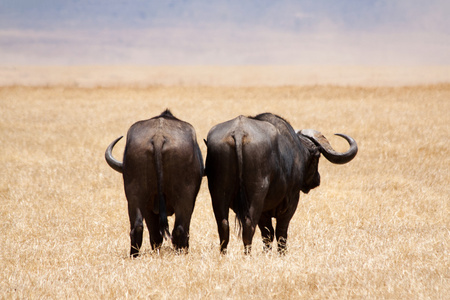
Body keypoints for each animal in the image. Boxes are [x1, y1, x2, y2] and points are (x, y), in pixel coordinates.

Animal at [104, 109, 203, 255]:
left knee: (138, 227)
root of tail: (158, 137)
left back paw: (134, 254)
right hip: (184, 197)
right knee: (180, 229)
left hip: (135, 193)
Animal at [205, 112, 358, 253]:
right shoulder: (290, 203)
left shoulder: (264, 212)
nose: (317, 179)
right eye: (317, 156)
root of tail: (238, 132)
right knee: (249, 226)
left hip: (218, 193)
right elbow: (281, 232)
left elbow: (267, 234)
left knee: (223, 226)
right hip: (256, 194)